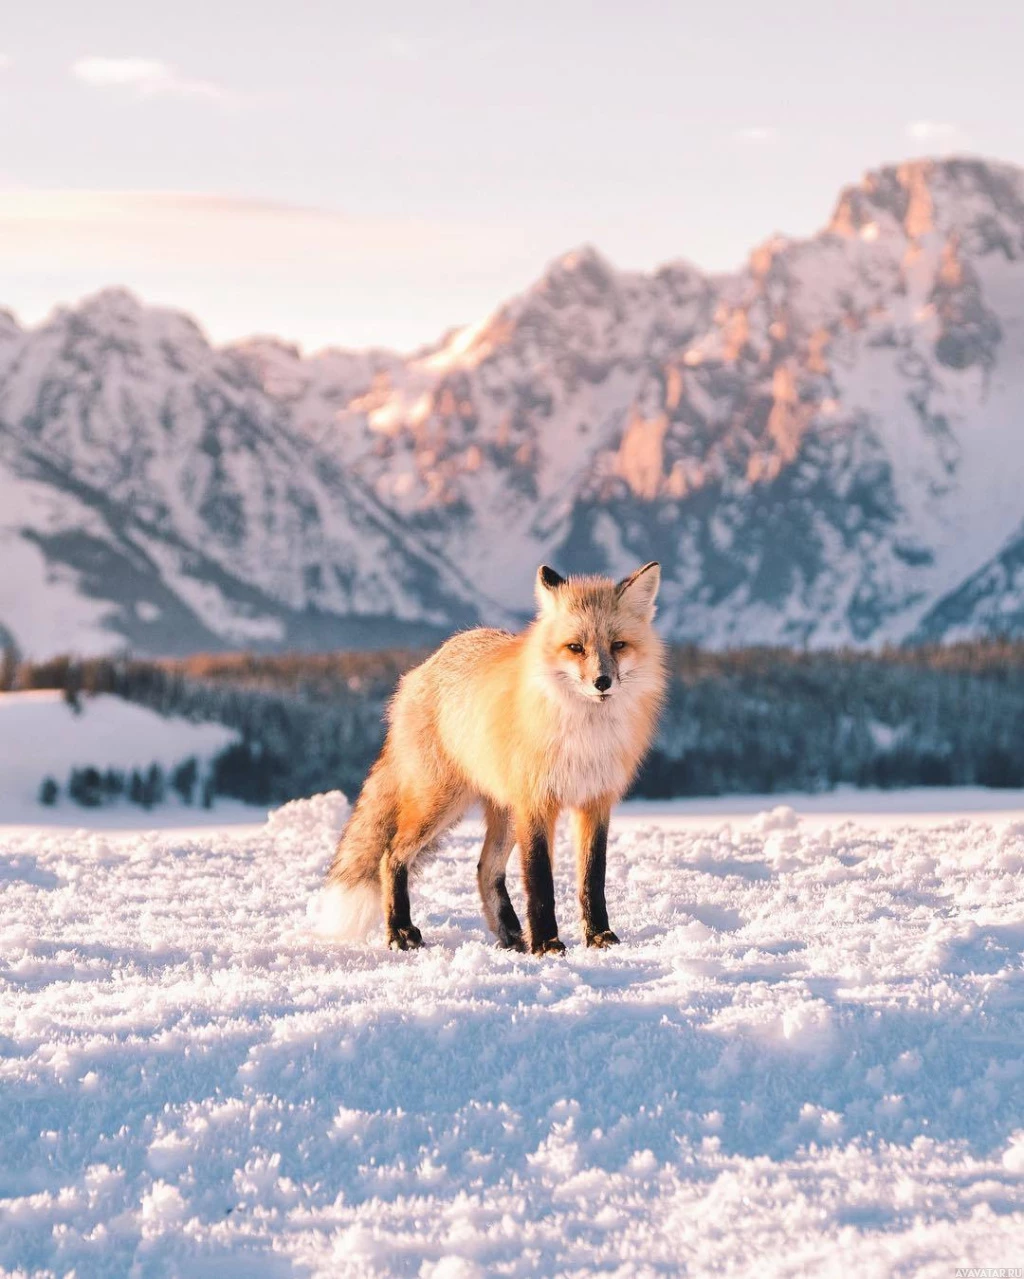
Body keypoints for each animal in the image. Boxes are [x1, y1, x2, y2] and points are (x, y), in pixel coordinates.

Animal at [323, 560, 664, 951]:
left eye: (618, 645)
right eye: (575, 647)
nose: (602, 682)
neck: (585, 737)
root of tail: (422, 669)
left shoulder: (595, 801)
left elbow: (593, 880)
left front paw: (597, 935)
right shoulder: (536, 803)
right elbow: (540, 882)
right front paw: (546, 943)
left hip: (502, 814)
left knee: (485, 868)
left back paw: (510, 933)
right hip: (439, 804)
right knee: (389, 855)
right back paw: (399, 930)